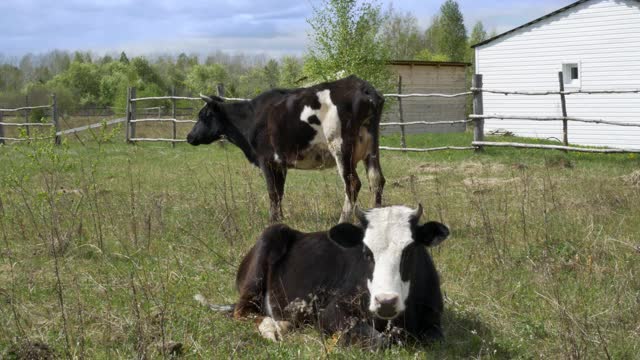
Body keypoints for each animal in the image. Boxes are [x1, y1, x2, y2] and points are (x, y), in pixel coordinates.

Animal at [185, 75, 384, 222]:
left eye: (204, 115)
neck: (251, 117)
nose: (189, 137)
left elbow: (272, 192)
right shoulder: (280, 163)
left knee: (352, 184)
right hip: (371, 148)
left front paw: (272, 220)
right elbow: (280, 192)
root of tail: (362, 86)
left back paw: (342, 221)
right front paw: (280, 218)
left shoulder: (266, 160)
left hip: (340, 147)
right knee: (376, 180)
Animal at [200, 204, 450, 348]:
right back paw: (275, 327)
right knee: (243, 313)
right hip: (263, 254)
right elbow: (378, 341)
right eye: (366, 251)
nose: (386, 301)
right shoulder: (332, 311)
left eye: (410, 250)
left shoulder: (434, 320)